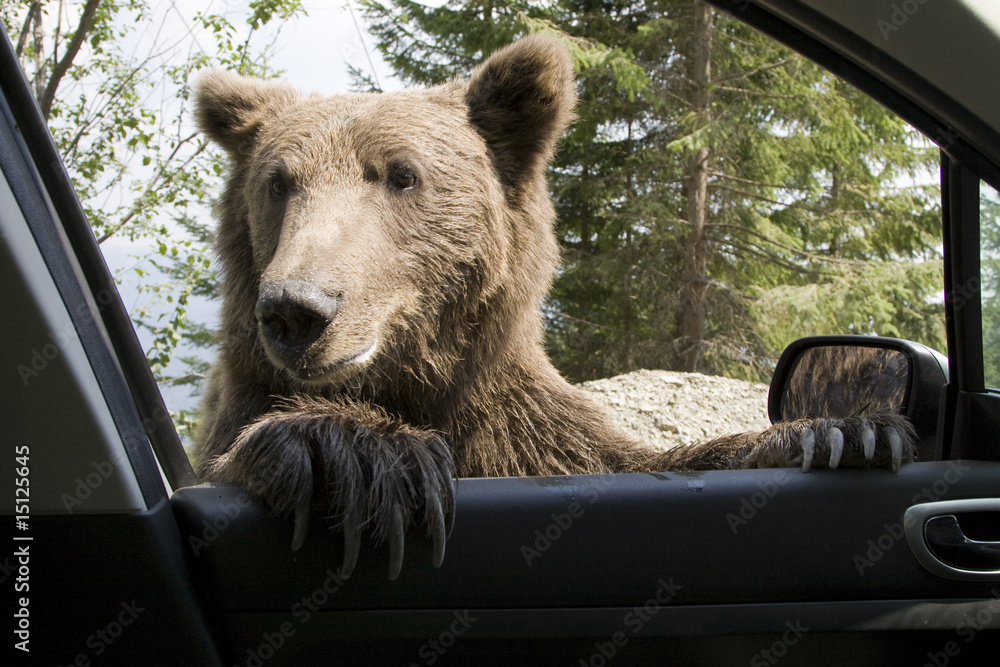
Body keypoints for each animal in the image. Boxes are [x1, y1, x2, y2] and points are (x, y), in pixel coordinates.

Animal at [192, 34, 915, 580]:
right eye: (278, 183)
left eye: (401, 174)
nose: (298, 308)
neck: (412, 381)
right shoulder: (245, 404)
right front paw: (359, 452)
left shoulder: (522, 430)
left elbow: (633, 460)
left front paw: (839, 431)